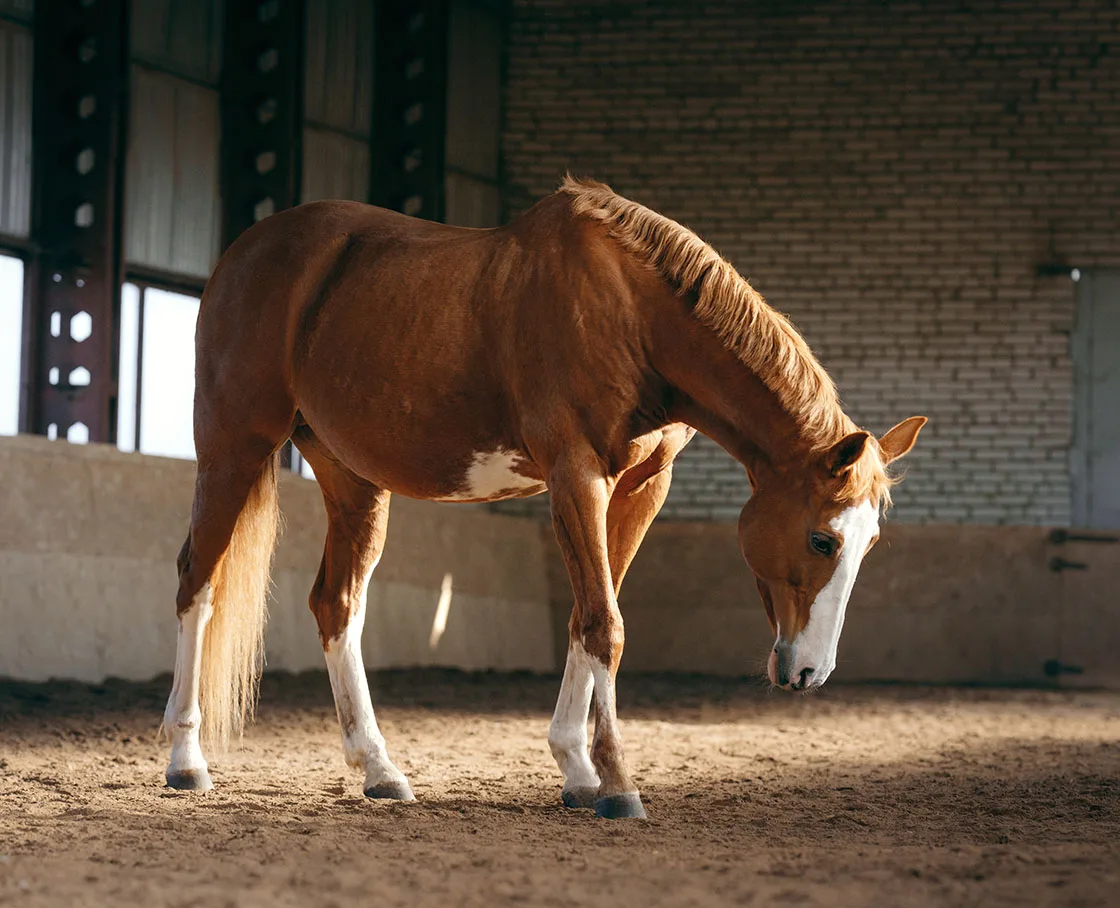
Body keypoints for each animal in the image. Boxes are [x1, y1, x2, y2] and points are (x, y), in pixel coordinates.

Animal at [162, 176, 926, 819]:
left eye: (870, 543)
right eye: (822, 538)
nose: (810, 672)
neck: (633, 312)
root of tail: (246, 251)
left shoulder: (640, 489)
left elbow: (589, 619)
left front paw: (577, 770)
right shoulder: (576, 475)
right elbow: (604, 625)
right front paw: (616, 784)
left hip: (352, 479)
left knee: (336, 605)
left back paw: (379, 770)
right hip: (233, 447)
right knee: (199, 582)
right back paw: (185, 759)